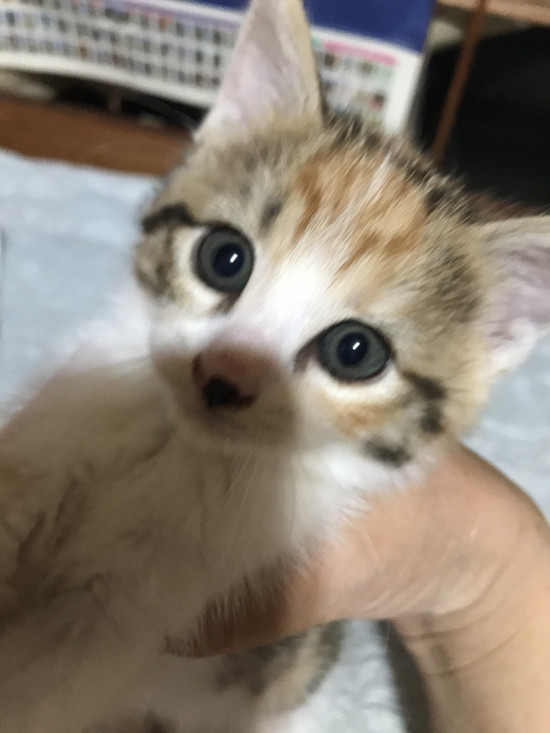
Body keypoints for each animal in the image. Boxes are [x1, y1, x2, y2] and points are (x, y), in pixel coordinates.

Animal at [0, 0, 549, 732]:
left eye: (355, 351)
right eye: (223, 258)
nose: (222, 374)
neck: (177, 443)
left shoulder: (139, 607)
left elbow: (43, 684)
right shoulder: (50, 436)